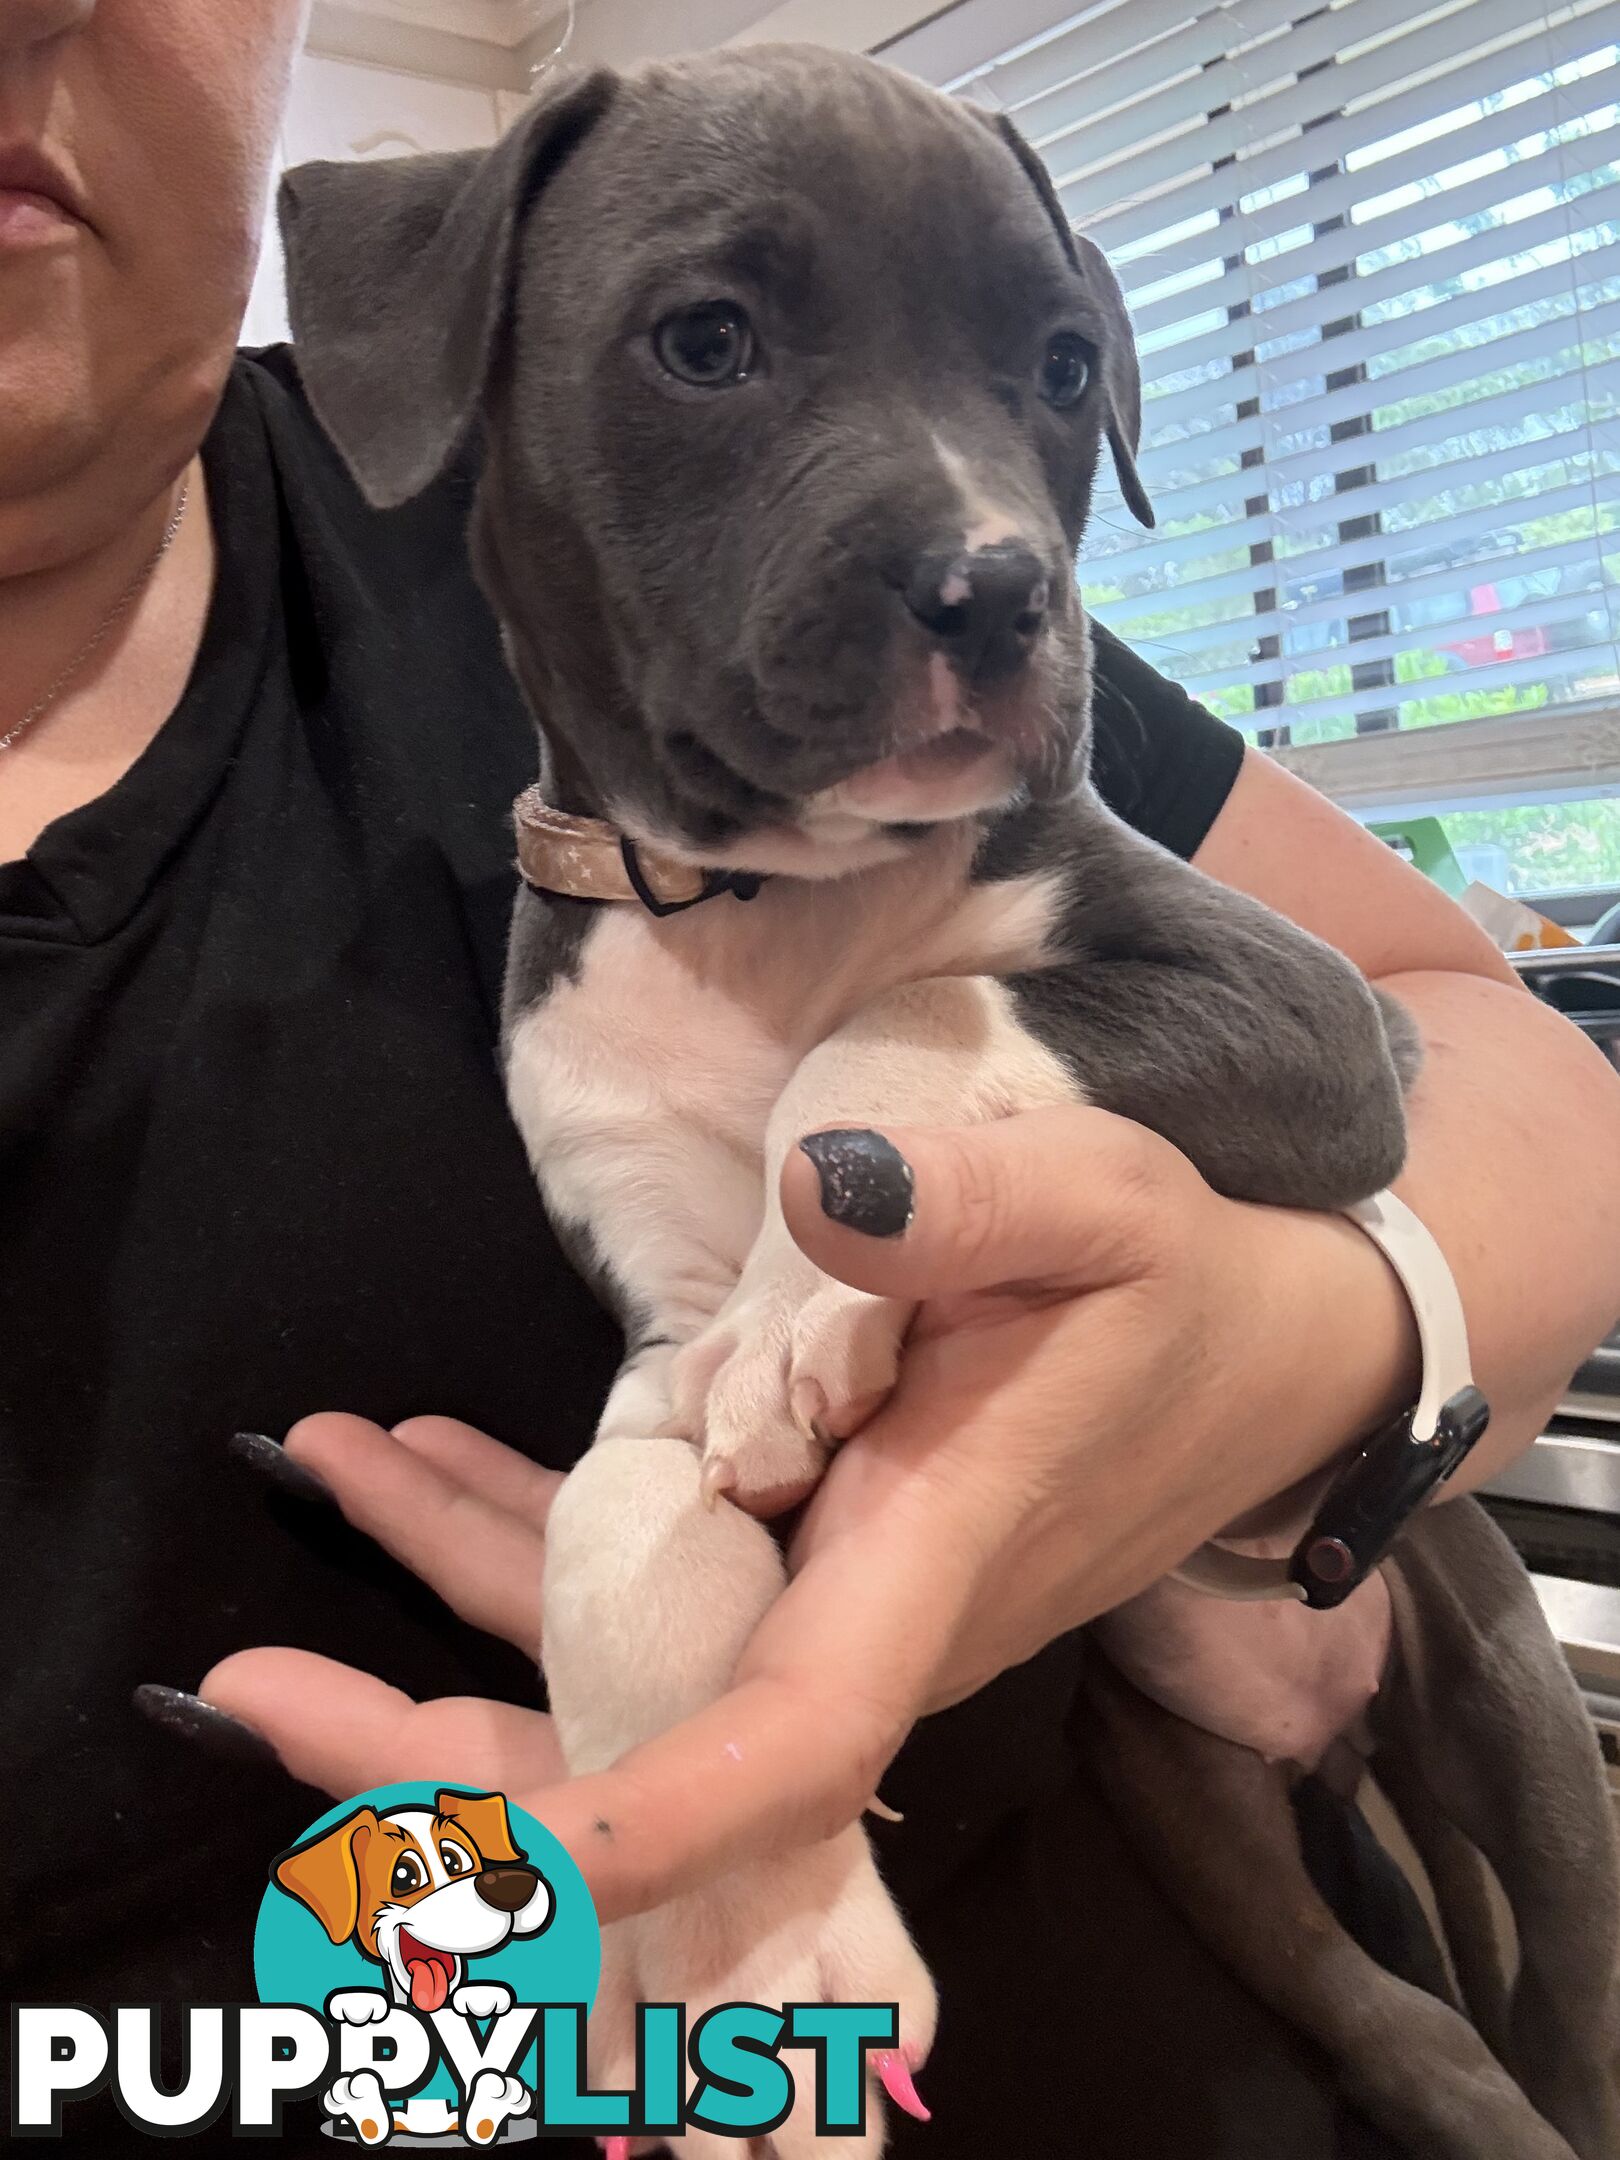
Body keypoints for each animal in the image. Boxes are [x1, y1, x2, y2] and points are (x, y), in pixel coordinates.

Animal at [282, 42, 1416, 2151]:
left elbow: (927, 1001)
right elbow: (623, 1525)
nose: (998, 592)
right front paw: (751, 1941)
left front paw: (818, 1290)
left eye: (1062, 367)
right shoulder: (652, 1317)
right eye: (706, 342)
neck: (769, 900)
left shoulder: (1333, 1029)